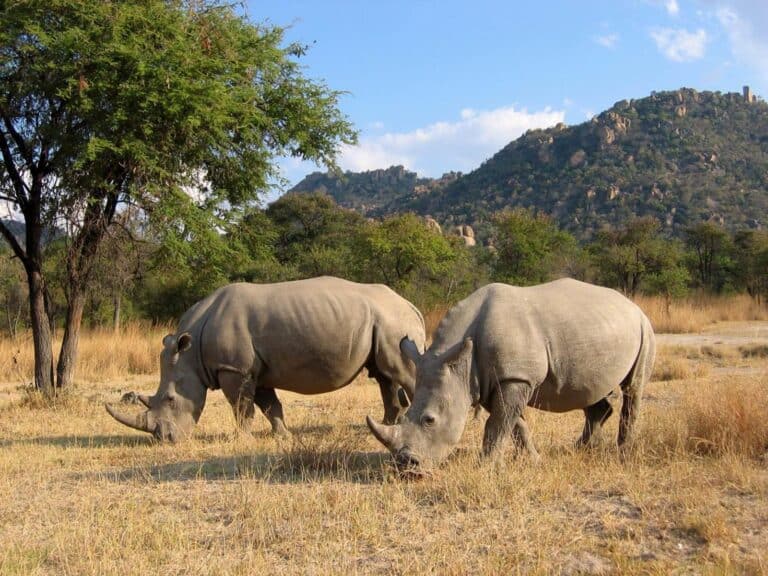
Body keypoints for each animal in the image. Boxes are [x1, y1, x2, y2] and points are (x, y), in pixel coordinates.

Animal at [106, 277, 426, 442]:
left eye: (171, 399)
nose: (165, 439)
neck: (191, 350)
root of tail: (411, 305)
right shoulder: (253, 370)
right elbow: (270, 406)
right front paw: (283, 436)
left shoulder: (234, 369)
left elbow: (241, 407)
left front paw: (242, 440)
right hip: (385, 323)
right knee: (384, 375)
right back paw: (387, 426)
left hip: (395, 323)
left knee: (402, 374)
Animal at [367, 278, 656, 470]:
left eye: (429, 420)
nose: (407, 467)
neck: (459, 362)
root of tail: (632, 305)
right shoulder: (490, 382)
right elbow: (514, 424)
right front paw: (534, 460)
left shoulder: (515, 377)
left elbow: (497, 425)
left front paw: (484, 467)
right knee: (591, 391)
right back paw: (581, 449)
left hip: (644, 328)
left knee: (633, 389)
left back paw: (622, 454)